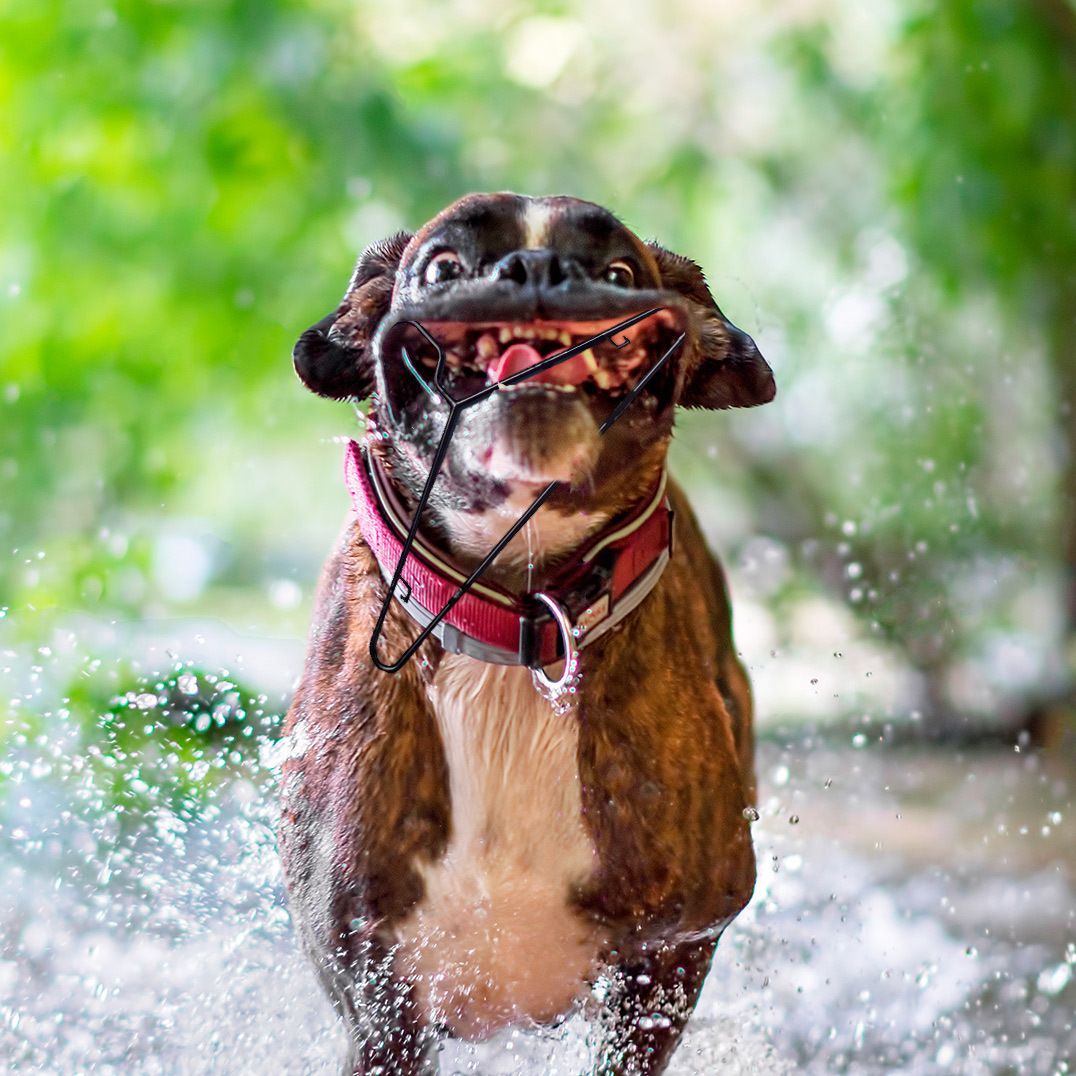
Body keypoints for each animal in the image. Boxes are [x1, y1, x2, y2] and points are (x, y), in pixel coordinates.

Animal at [279, 193, 774, 1076]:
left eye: (620, 273)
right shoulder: (380, 1005)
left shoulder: (666, 962)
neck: (516, 606)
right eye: (443, 266)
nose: (537, 268)